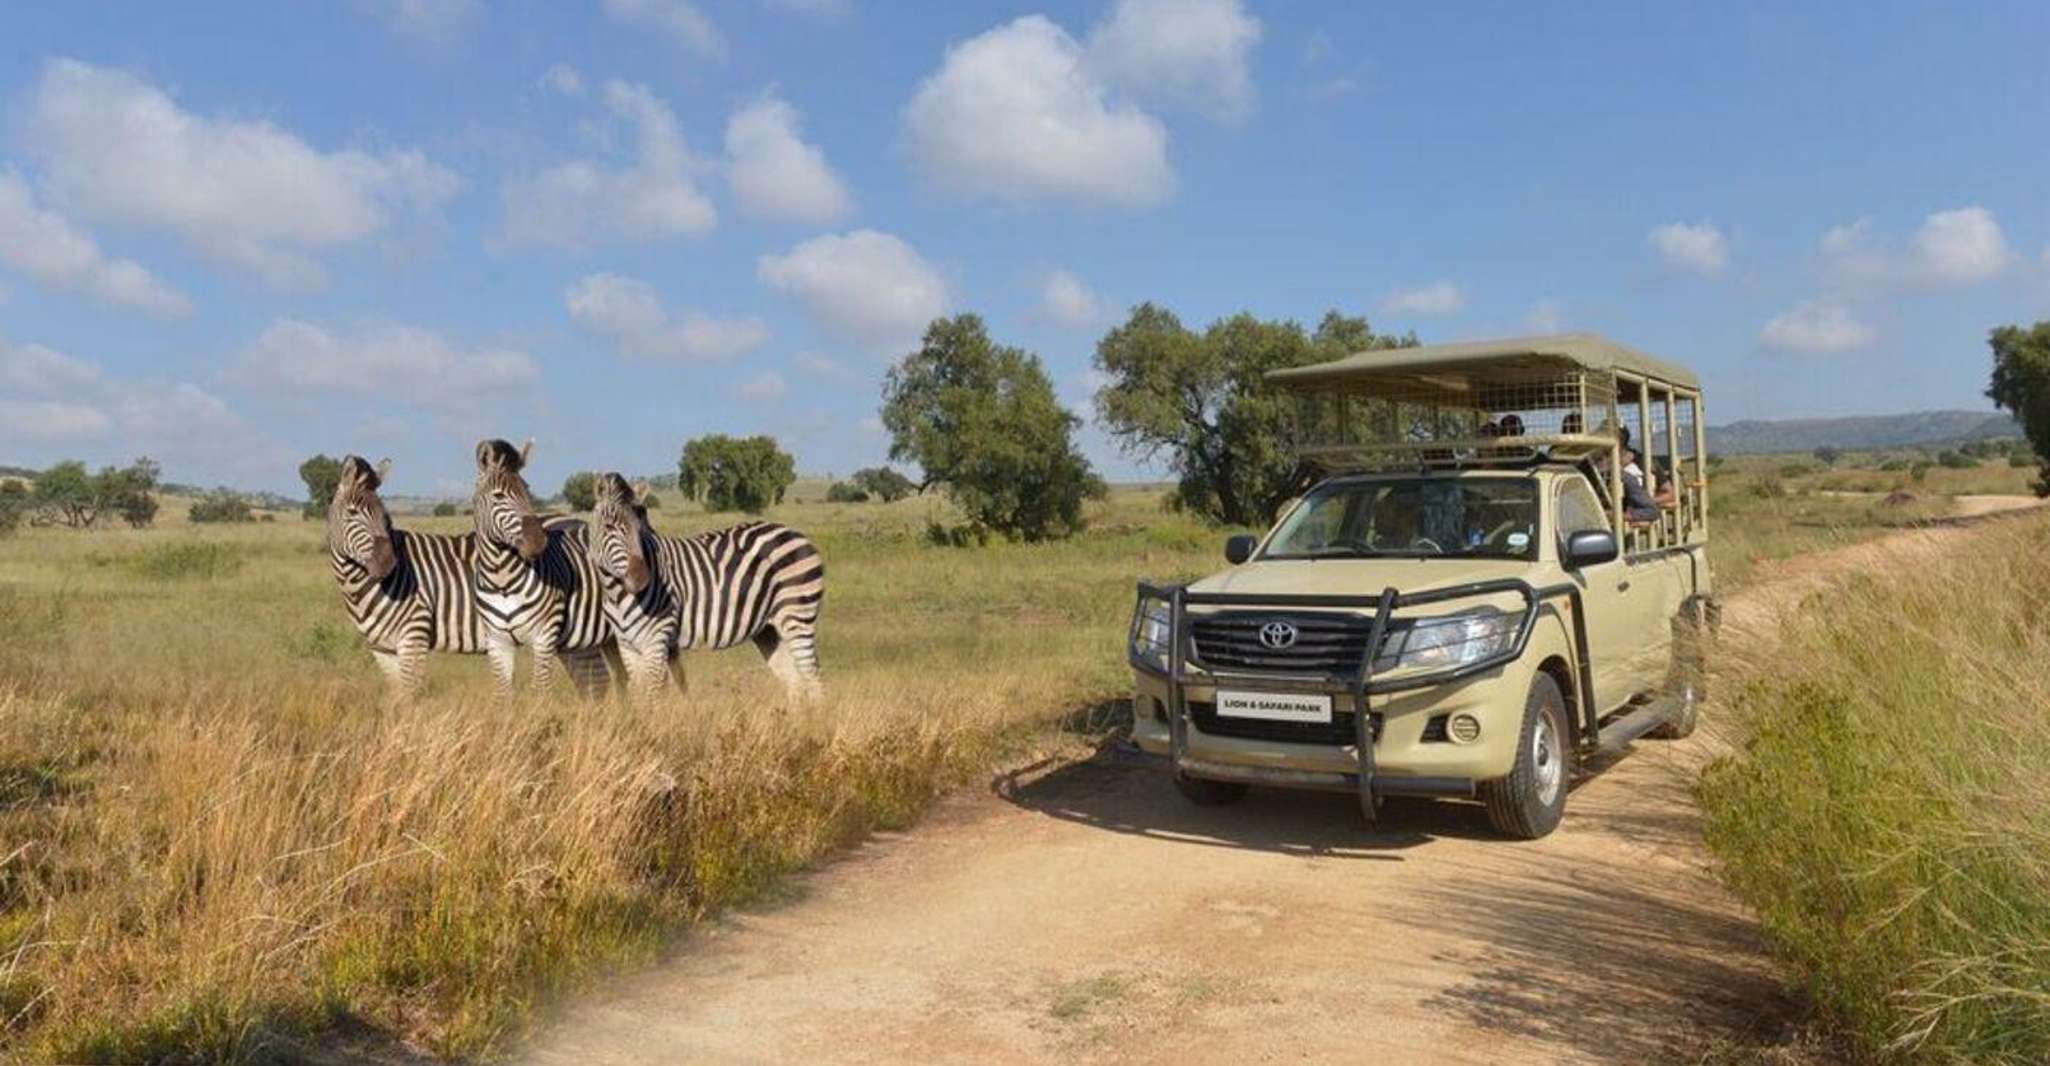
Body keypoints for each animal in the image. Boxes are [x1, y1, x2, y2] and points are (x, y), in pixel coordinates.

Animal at [319, 453, 606, 705]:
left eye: (385, 518)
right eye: (352, 513)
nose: (387, 563)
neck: (357, 586)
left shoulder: (413, 635)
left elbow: (409, 699)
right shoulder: (382, 649)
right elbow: (398, 698)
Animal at [469, 434, 615, 697]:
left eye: (527, 491)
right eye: (498, 496)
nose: (538, 541)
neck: (501, 579)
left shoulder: (544, 636)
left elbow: (541, 690)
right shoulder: (497, 642)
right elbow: (504, 693)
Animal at [586, 471, 824, 705]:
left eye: (641, 527)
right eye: (608, 527)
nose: (641, 579)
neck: (616, 594)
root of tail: (795, 533)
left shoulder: (656, 639)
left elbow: (652, 697)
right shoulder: (627, 644)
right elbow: (639, 695)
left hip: (797, 617)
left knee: (813, 680)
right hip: (768, 630)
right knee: (795, 683)